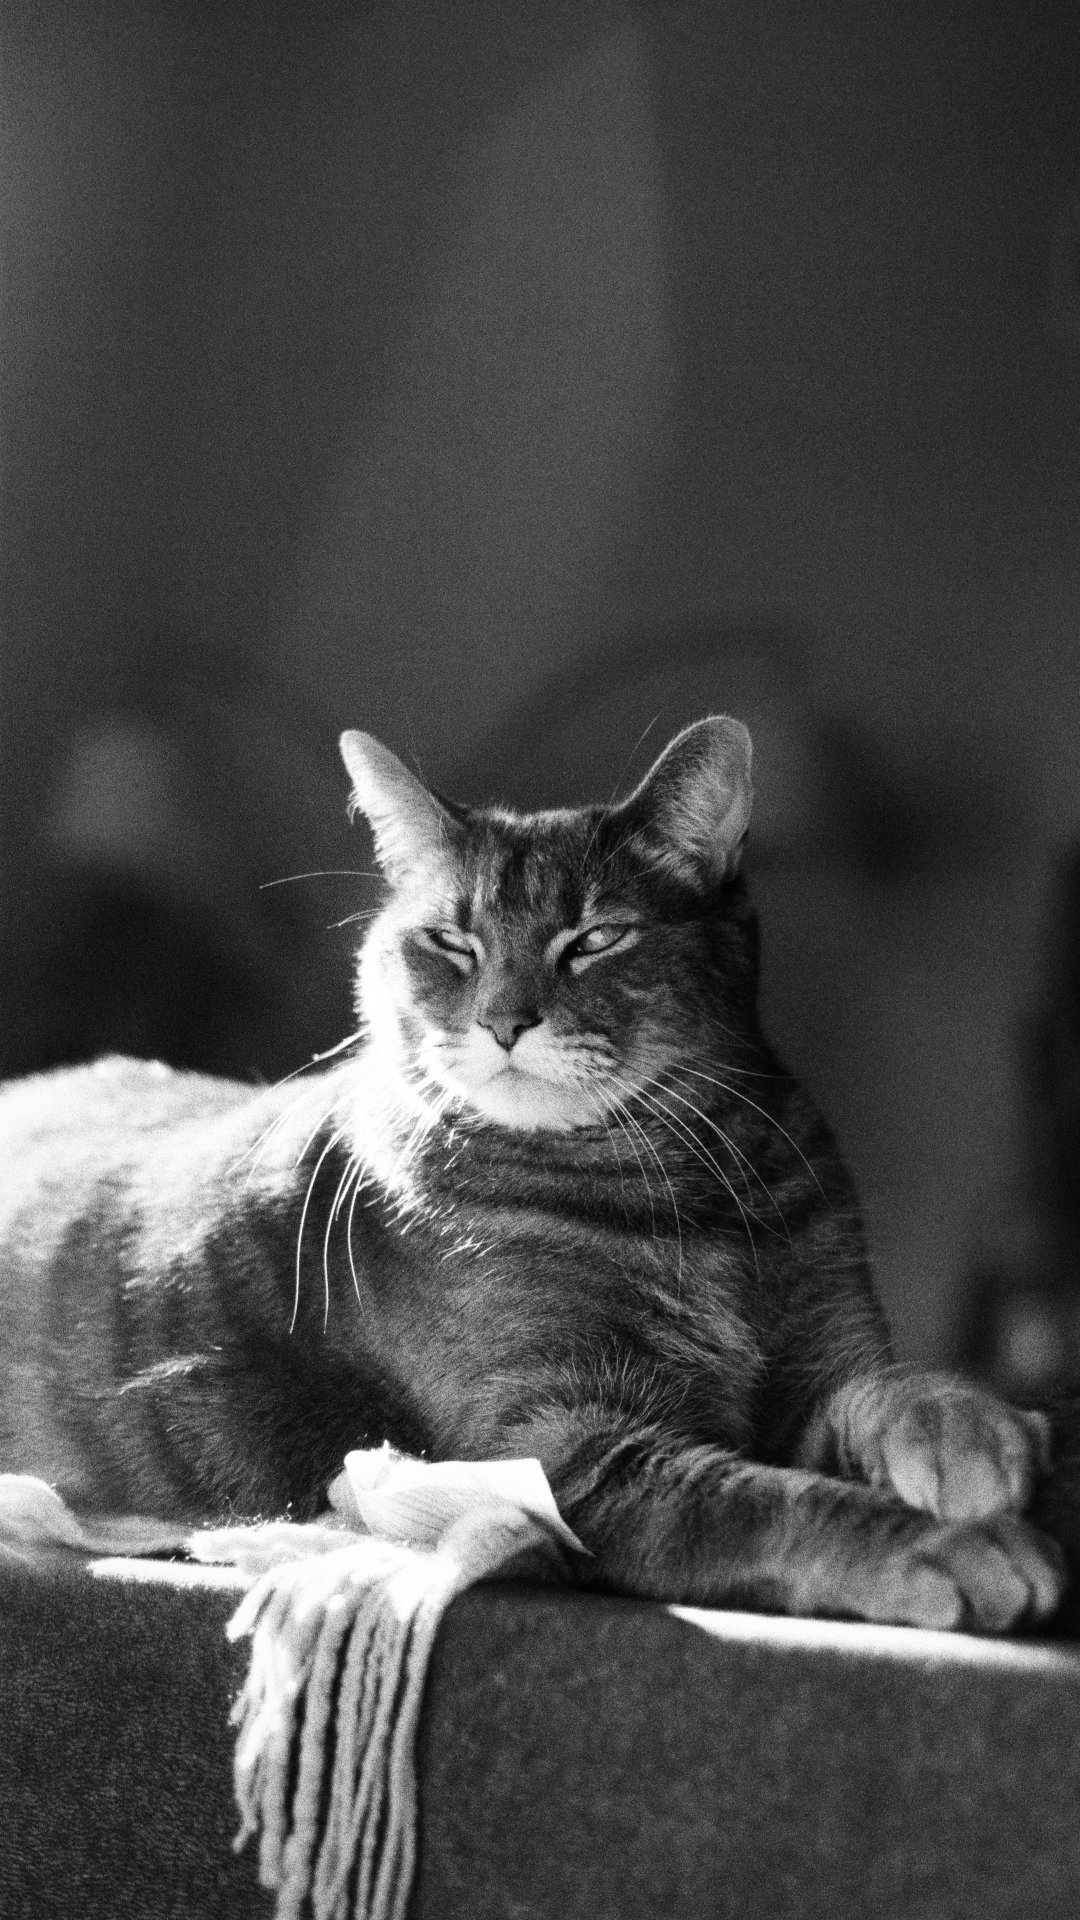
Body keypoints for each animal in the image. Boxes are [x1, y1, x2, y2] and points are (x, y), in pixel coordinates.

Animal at [0, 716, 1066, 1631]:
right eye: (450, 939)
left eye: (594, 937)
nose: (505, 1020)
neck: (682, 1195)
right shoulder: (562, 1448)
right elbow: (764, 1501)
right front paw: (944, 1546)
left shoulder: (818, 1361)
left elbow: (887, 1387)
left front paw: (973, 1430)